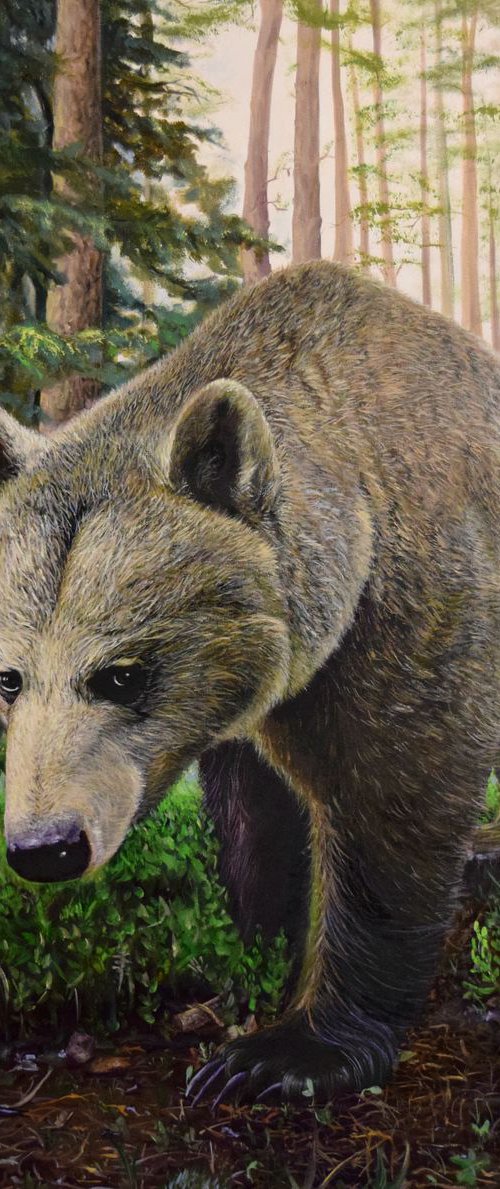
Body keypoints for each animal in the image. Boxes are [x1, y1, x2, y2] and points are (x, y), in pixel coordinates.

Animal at [0, 260, 499, 1104]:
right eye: (7, 676)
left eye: (121, 673)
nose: (46, 846)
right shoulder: (251, 703)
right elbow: (255, 818)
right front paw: (247, 966)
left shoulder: (406, 608)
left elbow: (394, 797)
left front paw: (283, 1052)